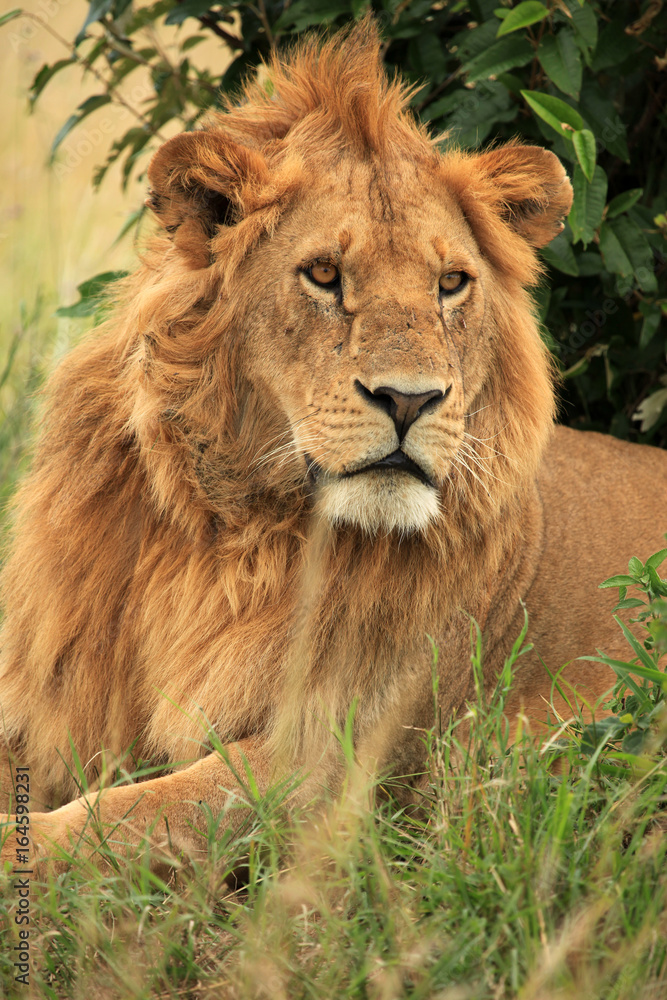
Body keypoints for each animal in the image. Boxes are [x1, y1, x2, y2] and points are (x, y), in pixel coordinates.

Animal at [1, 17, 666, 869]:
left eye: (450, 283)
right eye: (322, 274)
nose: (409, 399)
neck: (229, 532)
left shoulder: (329, 762)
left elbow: (120, 815)